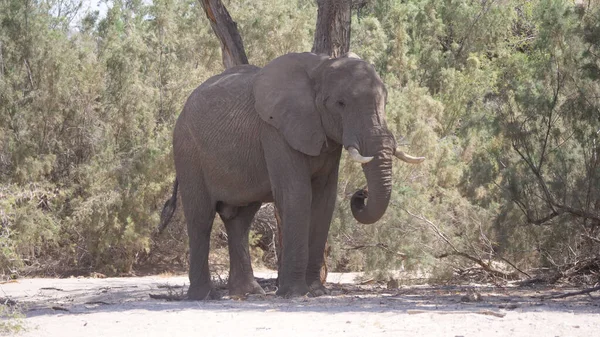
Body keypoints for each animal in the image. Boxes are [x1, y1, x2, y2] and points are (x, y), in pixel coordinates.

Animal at [158, 51, 422, 298]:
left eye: (385, 101)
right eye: (340, 103)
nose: (361, 194)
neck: (320, 66)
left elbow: (325, 200)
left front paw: (317, 291)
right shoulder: (275, 131)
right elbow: (297, 194)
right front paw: (295, 293)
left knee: (240, 221)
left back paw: (248, 293)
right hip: (187, 151)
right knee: (201, 218)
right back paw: (204, 296)